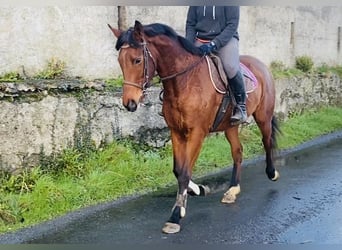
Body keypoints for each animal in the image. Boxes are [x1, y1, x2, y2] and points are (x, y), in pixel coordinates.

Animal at [107, 21, 280, 234]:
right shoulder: (176, 132)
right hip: (230, 126)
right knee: (238, 152)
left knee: (266, 141)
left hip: (263, 117)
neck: (185, 82)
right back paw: (232, 190)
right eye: (120, 61)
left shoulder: (197, 133)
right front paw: (198, 189)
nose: (129, 103)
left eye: (137, 60)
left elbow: (184, 172)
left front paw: (175, 215)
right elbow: (178, 170)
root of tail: (261, 65)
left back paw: (272, 173)